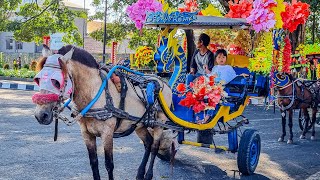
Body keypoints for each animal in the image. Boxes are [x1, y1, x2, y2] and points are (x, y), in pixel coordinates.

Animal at [33, 45, 176, 180]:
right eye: (38, 79)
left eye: (56, 82)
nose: (40, 115)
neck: (94, 93)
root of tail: (164, 83)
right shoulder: (86, 134)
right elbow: (94, 162)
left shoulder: (107, 133)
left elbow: (109, 164)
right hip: (139, 125)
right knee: (148, 143)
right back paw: (140, 173)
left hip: (160, 122)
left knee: (155, 147)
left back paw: (148, 175)